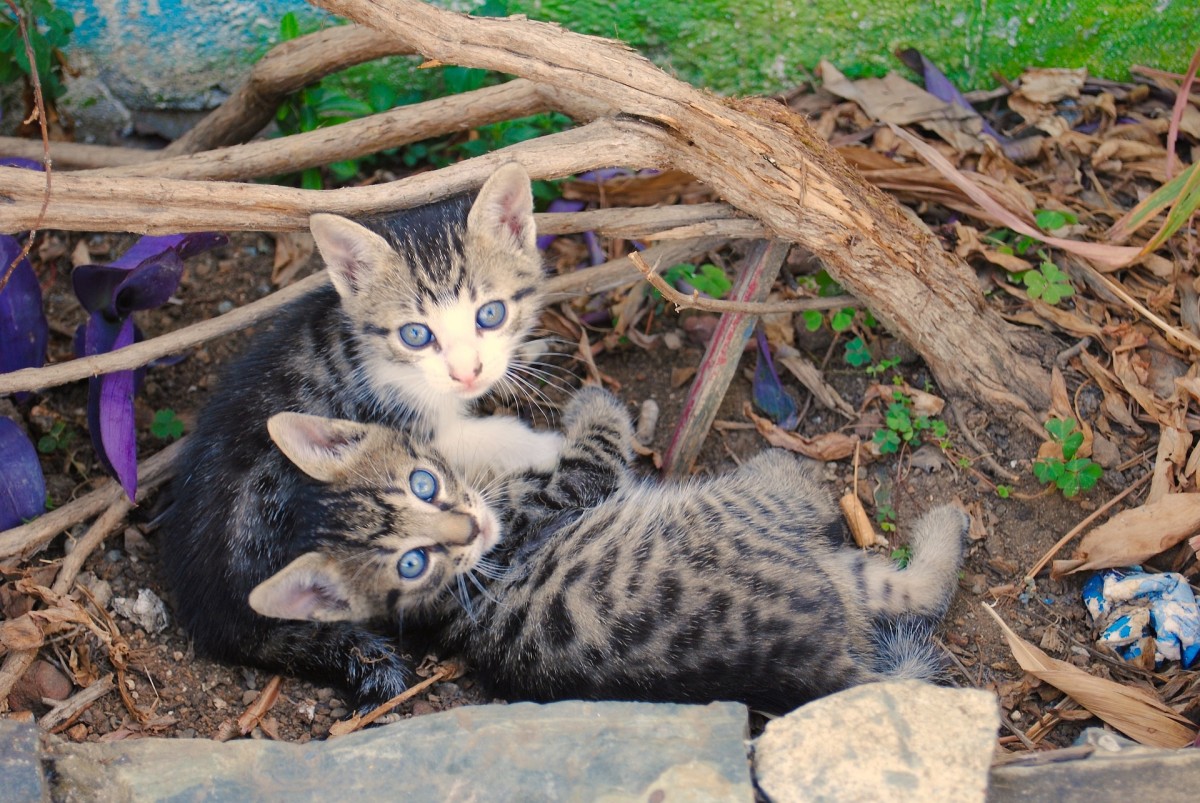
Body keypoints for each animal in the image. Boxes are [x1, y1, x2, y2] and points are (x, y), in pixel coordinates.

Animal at [157, 165, 559, 705]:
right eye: (416, 335)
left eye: (490, 314)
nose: (466, 373)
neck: (368, 348)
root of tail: (223, 622)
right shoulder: (400, 420)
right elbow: (473, 439)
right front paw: (545, 444)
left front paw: (524, 356)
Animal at [248, 386, 969, 705]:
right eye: (412, 562)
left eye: (423, 485)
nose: (472, 531)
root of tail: (821, 672)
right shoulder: (568, 490)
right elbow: (595, 442)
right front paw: (593, 402)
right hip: (739, 521)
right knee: (878, 557)